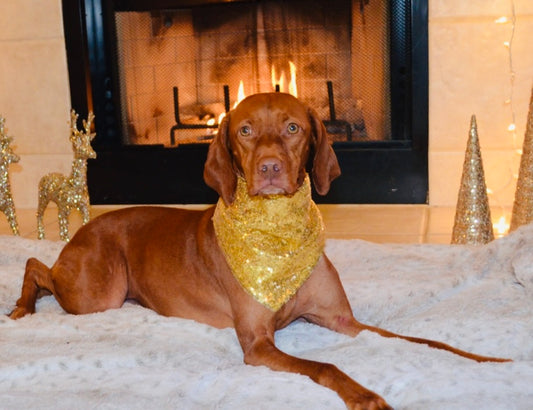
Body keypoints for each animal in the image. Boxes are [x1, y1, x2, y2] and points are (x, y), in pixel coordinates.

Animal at [8, 93, 508, 410]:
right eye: (245, 130)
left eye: (293, 127)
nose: (269, 168)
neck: (277, 237)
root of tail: (84, 227)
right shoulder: (257, 344)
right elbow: (326, 366)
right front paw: (365, 395)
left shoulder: (342, 320)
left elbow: (423, 341)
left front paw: (487, 360)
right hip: (99, 293)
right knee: (34, 263)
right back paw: (20, 308)